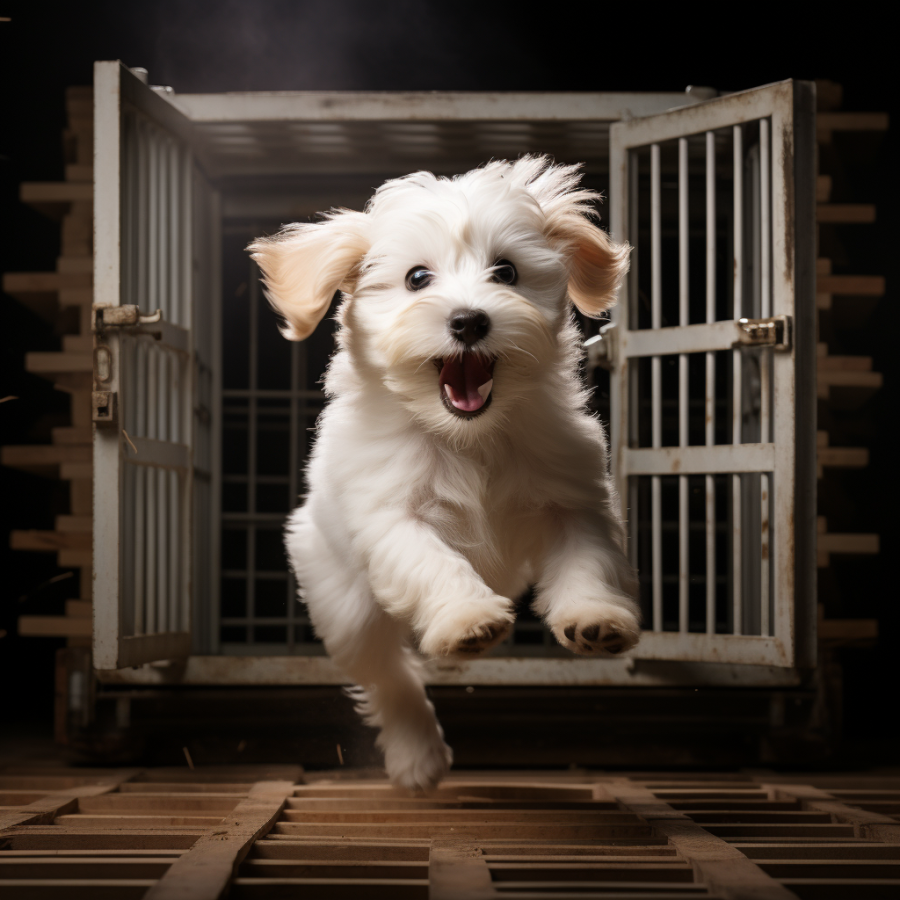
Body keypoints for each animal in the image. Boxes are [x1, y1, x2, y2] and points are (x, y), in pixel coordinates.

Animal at [246, 158, 640, 792]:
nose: (469, 320)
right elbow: (432, 562)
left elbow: (588, 559)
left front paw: (595, 617)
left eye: (506, 271)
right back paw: (418, 753)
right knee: (386, 673)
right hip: (342, 597)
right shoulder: (389, 514)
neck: (468, 435)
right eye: (416, 279)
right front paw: (467, 618)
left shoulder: (572, 499)